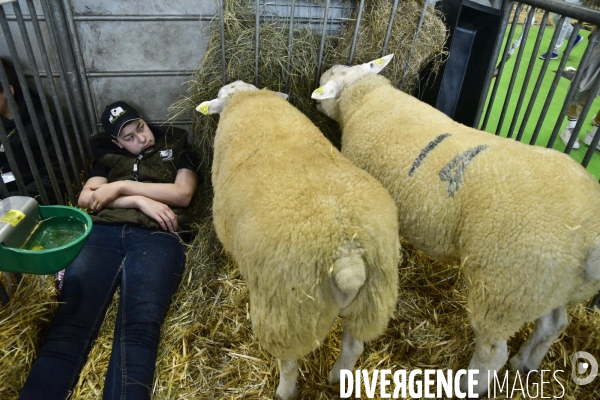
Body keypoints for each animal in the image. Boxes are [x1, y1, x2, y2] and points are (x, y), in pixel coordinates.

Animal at [198, 79, 404, 398]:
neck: (246, 99)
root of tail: (347, 255)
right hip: (372, 302)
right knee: (353, 346)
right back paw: (338, 377)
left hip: (288, 314)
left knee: (289, 363)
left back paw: (285, 391)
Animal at [312, 54, 600, 396]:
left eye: (328, 81)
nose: (321, 78)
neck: (366, 97)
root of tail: (590, 232)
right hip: (546, 285)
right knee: (552, 325)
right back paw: (525, 363)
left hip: (504, 285)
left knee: (493, 353)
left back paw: (467, 384)